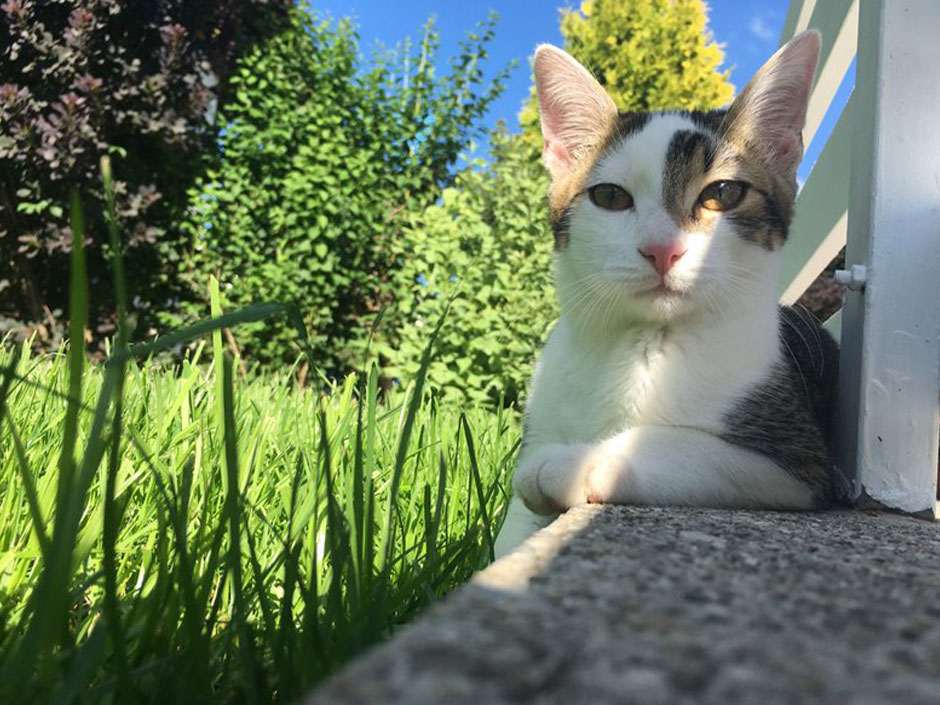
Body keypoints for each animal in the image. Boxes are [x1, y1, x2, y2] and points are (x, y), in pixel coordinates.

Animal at [496, 30, 840, 556]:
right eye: (610, 197)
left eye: (722, 193)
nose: (662, 249)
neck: (641, 345)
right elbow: (507, 538)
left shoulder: (798, 462)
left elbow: (679, 444)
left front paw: (572, 463)